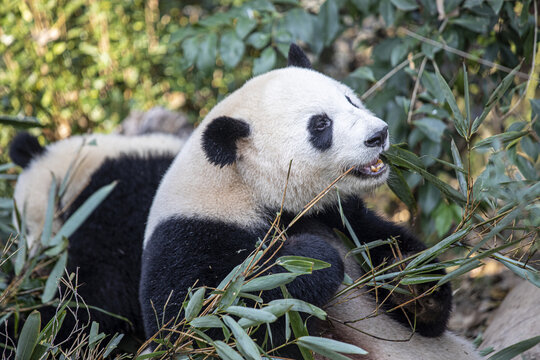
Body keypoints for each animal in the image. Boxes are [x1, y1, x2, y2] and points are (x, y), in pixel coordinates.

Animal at [140, 45, 480, 360]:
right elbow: (208, 323)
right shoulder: (192, 236)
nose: (379, 134)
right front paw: (312, 259)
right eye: (320, 124)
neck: (243, 186)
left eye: (349, 100)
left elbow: (408, 284)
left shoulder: (339, 214)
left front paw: (408, 278)